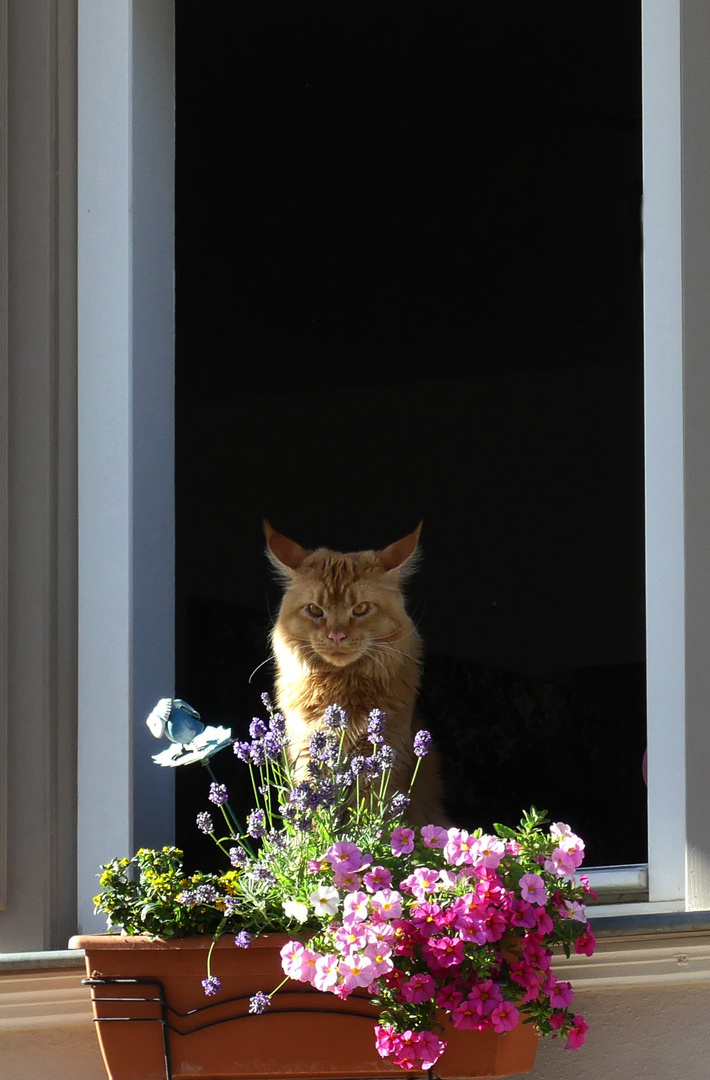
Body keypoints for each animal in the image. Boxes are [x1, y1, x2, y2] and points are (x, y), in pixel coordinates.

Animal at [262, 522, 445, 825]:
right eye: (315, 610)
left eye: (360, 609)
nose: (337, 636)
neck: (340, 689)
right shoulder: (307, 754)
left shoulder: (380, 758)